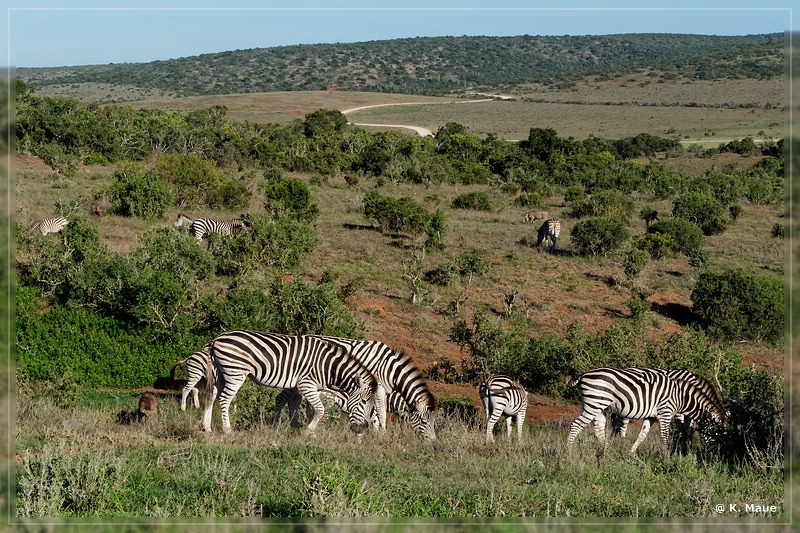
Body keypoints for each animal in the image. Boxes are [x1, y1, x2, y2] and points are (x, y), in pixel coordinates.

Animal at [202, 330, 386, 434]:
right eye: (364, 401)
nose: (363, 429)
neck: (327, 366)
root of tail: (216, 339)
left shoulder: (298, 386)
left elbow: (297, 406)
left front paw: (294, 428)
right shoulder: (307, 384)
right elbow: (320, 410)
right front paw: (308, 431)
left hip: (221, 373)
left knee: (211, 397)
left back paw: (207, 428)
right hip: (235, 372)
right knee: (224, 399)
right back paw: (227, 430)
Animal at [274, 334, 438, 438]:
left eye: (433, 422)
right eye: (424, 422)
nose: (432, 443)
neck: (390, 369)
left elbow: (376, 411)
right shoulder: (377, 387)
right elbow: (380, 412)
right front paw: (380, 434)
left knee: (294, 400)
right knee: (281, 398)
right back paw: (277, 426)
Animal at [564, 366, 728, 458]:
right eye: (717, 432)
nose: (715, 456)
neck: (682, 396)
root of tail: (583, 375)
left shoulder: (652, 416)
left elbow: (642, 435)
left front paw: (631, 454)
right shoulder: (667, 412)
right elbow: (670, 435)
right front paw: (669, 457)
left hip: (600, 406)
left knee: (599, 429)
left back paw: (605, 452)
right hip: (594, 404)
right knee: (576, 425)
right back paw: (570, 453)